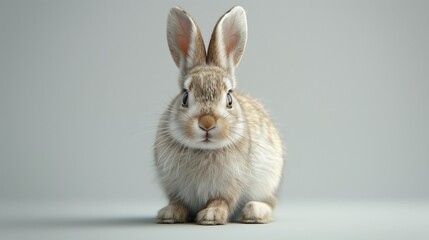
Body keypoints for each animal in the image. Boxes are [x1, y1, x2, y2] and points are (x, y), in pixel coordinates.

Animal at [155, 6, 284, 225]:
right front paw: (169, 214)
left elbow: (221, 200)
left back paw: (254, 212)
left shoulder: (230, 185)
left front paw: (211, 215)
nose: (207, 122)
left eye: (229, 98)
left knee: (269, 203)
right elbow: (178, 202)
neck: (203, 149)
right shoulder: (174, 187)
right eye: (185, 96)